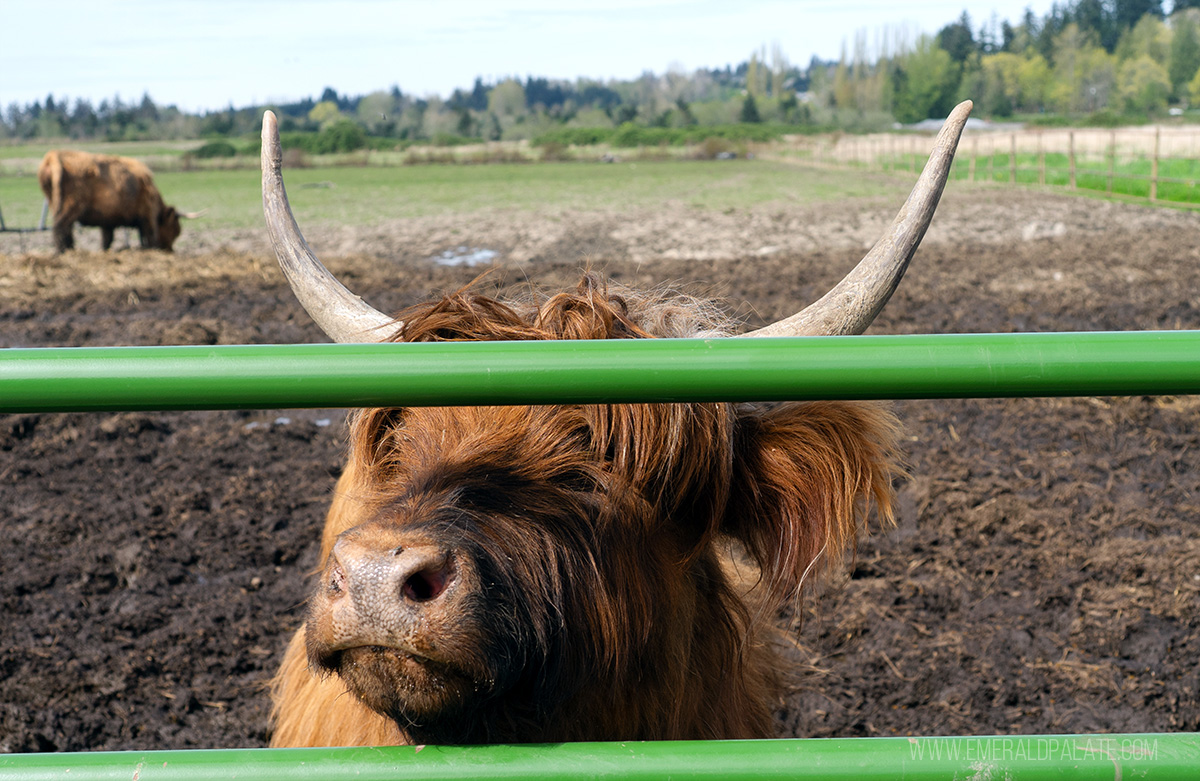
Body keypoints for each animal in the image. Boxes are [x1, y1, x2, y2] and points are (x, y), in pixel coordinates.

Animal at [37, 149, 190, 252]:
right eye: (174, 229)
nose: (170, 250)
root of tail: (55, 155)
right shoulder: (148, 216)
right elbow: (150, 236)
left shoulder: (107, 221)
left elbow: (107, 240)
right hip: (70, 207)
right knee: (60, 228)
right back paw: (65, 252)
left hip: (56, 204)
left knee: (65, 230)